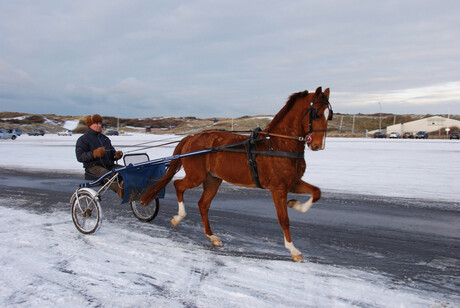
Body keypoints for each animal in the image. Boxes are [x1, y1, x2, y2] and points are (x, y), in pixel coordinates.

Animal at [141, 86, 334, 262]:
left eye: (329, 115)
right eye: (316, 114)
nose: (318, 145)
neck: (278, 144)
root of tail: (192, 137)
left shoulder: (292, 182)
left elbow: (316, 192)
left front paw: (295, 204)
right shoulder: (278, 188)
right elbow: (283, 219)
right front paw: (293, 250)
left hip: (213, 179)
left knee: (203, 204)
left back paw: (212, 237)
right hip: (196, 176)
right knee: (178, 185)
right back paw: (178, 217)